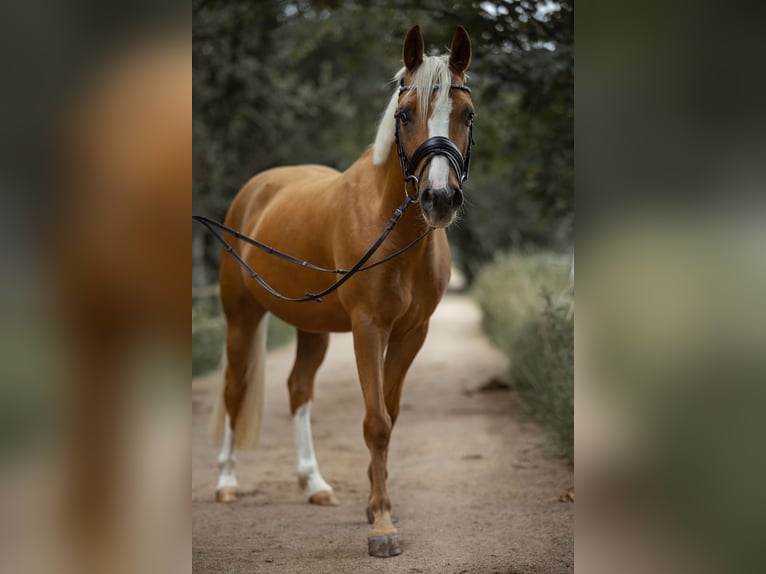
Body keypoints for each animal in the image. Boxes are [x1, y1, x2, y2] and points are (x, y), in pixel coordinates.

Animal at [210, 24, 474, 560]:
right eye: (404, 113)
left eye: (468, 114)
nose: (439, 198)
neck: (390, 229)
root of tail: (255, 190)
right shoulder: (367, 328)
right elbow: (376, 421)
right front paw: (383, 528)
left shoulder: (413, 333)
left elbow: (390, 413)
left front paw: (374, 506)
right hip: (241, 317)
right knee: (233, 389)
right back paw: (226, 483)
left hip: (311, 327)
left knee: (298, 389)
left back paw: (315, 484)